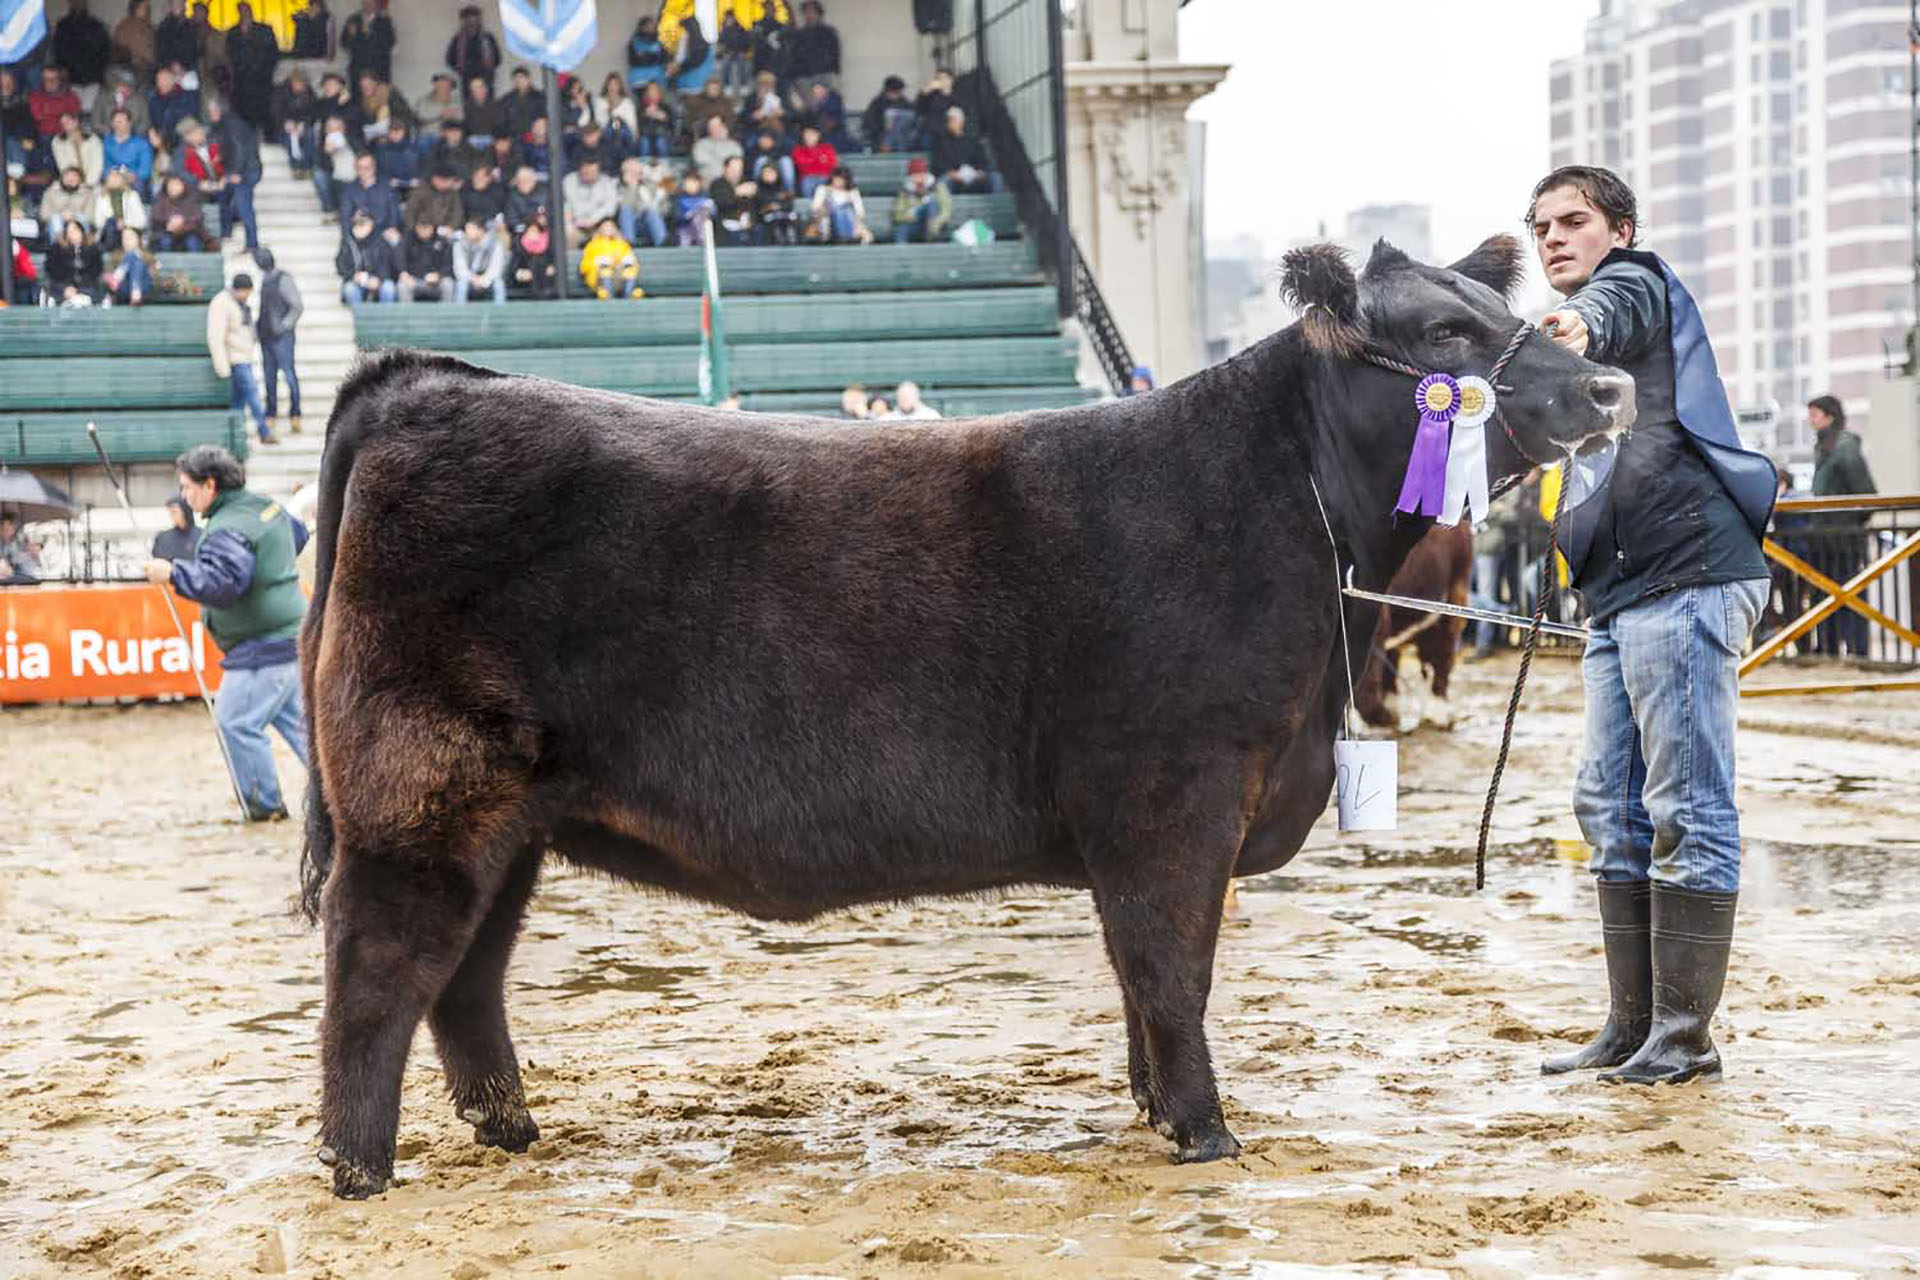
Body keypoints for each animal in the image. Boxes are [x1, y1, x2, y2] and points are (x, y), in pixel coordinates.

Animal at [299, 233, 1635, 1205]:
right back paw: (359, 1170)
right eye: (1448, 332)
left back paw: (510, 1127)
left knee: (466, 982)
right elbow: (1174, 969)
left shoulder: (1142, 824)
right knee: (378, 975)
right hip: (423, 800)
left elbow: (1138, 976)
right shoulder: (1177, 796)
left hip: (512, 821)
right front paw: (1206, 1132)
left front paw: (1154, 1109)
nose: (1609, 382)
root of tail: (424, 380)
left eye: (1496, 304)